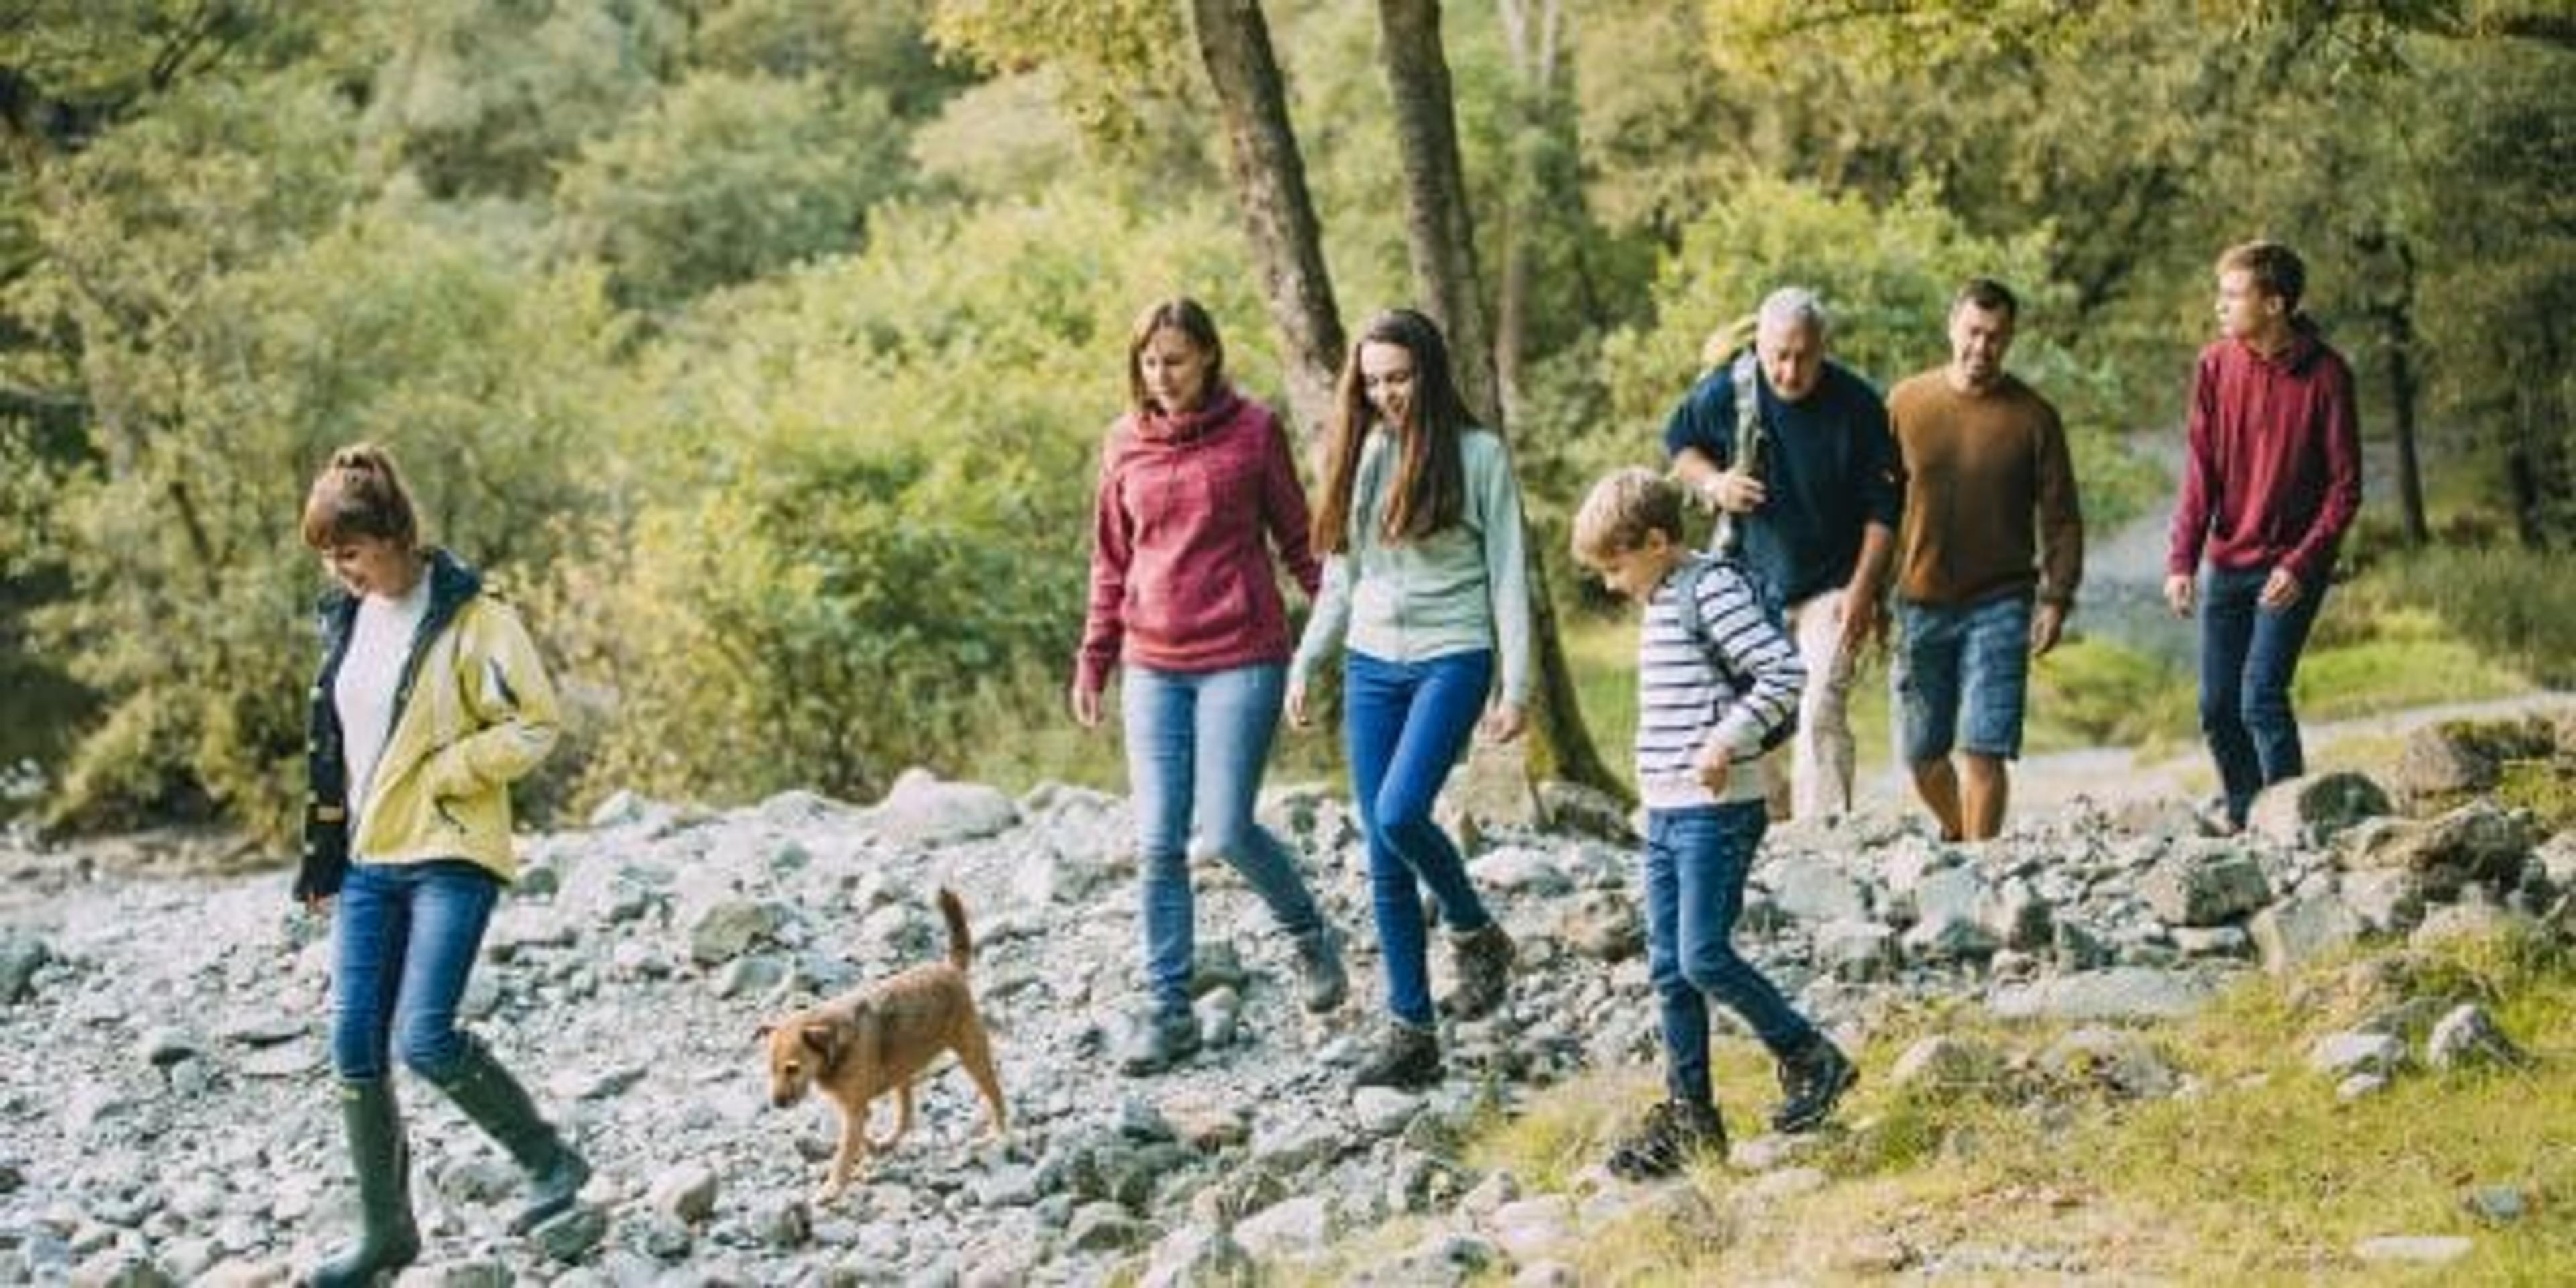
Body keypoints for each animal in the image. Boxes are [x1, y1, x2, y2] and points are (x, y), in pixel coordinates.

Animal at [752, 885, 1004, 1195]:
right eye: (771, 1070)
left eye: (792, 1068)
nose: (776, 1103)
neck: (833, 1051)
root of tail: (951, 969)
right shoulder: (854, 1109)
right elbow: (858, 1138)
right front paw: (868, 1151)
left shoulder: (854, 1110)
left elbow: (844, 1152)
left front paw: (832, 1188)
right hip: (902, 1071)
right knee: (906, 1116)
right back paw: (889, 1140)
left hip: (972, 1053)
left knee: (996, 1096)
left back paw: (1000, 1133)